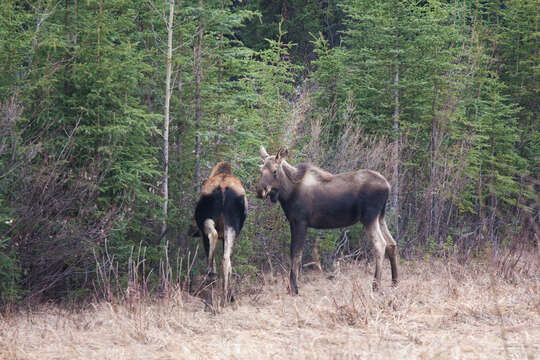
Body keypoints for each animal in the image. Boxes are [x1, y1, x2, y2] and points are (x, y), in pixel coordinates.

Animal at [195, 162, 248, 302]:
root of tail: (223, 188)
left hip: (205, 220)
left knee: (212, 236)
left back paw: (211, 275)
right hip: (232, 225)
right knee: (226, 259)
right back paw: (227, 296)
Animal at [255, 145, 398, 294]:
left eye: (275, 171)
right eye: (260, 170)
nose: (260, 191)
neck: (287, 193)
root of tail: (387, 186)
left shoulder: (300, 222)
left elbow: (296, 254)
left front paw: (294, 289)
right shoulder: (293, 222)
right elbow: (293, 253)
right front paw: (290, 288)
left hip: (369, 217)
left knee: (380, 244)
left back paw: (375, 286)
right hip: (380, 216)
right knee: (392, 243)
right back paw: (394, 282)